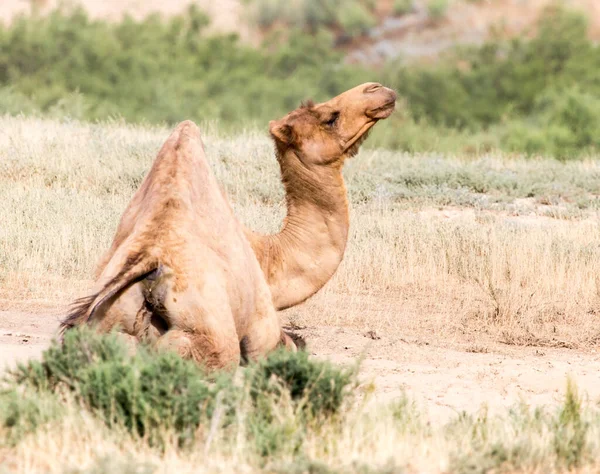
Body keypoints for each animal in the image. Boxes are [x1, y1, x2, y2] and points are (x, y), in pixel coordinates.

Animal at [61, 82, 396, 370]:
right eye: (330, 118)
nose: (378, 89)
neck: (268, 256)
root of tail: (149, 261)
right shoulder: (263, 326)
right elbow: (288, 344)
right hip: (211, 333)